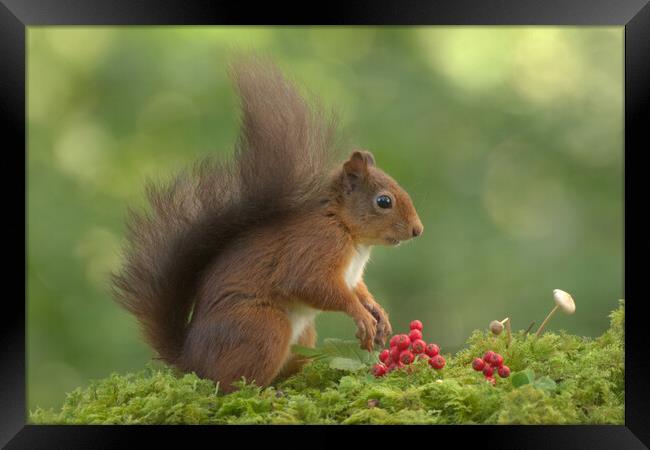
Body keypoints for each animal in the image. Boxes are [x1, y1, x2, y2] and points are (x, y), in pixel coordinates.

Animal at [112, 58, 420, 392]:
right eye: (384, 201)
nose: (418, 230)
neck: (349, 233)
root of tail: (191, 362)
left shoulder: (351, 275)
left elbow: (359, 290)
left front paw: (378, 312)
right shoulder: (315, 246)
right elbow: (312, 284)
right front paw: (360, 314)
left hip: (302, 336)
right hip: (263, 328)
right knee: (230, 386)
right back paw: (262, 394)